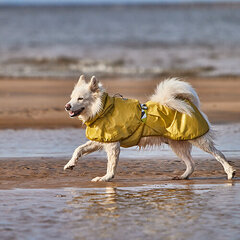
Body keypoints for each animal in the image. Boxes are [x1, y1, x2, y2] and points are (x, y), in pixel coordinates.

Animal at [63, 75, 236, 182]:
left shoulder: (112, 145)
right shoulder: (101, 139)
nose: (67, 106)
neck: (103, 109)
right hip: (177, 144)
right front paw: (70, 164)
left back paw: (230, 171)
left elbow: (111, 165)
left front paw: (105, 178)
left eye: (80, 98)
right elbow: (78, 149)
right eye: (71, 97)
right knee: (191, 164)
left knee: (218, 154)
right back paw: (183, 177)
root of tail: (187, 103)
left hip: (197, 138)